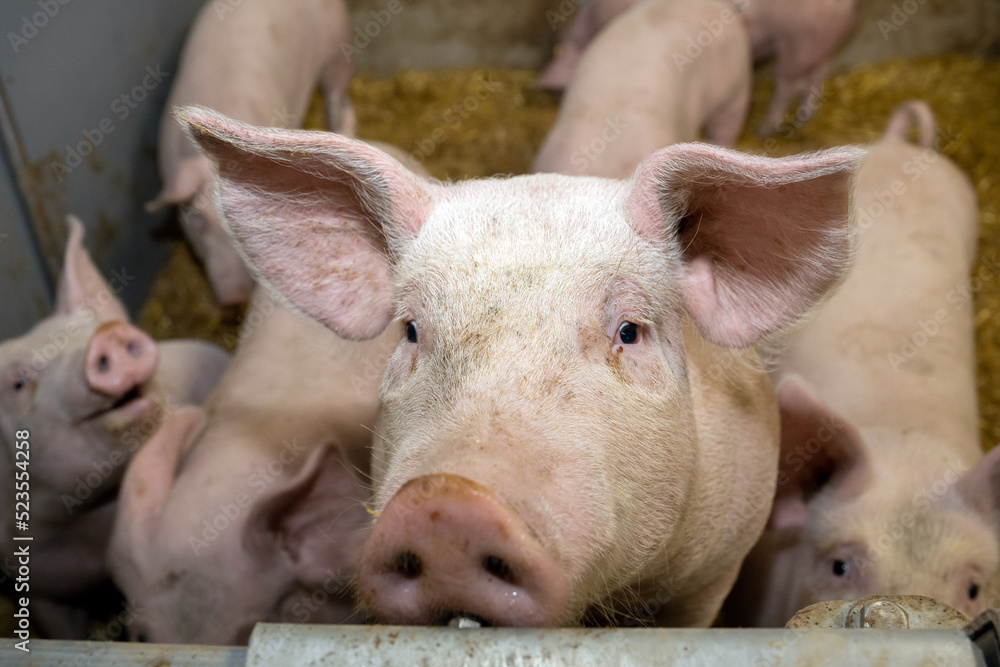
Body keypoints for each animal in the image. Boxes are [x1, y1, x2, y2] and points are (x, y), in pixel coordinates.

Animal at [537, 0, 857, 137]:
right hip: (816, 46)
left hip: (797, 40)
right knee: (818, 75)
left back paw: (764, 130)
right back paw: (805, 117)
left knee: (787, 85)